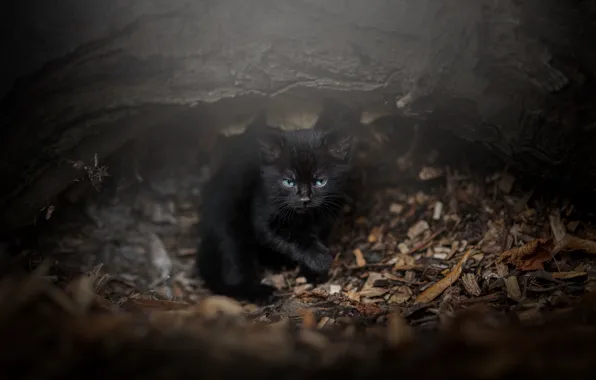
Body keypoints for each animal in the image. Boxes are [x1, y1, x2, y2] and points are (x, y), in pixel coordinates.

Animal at [196, 110, 354, 302]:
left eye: (320, 181)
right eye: (288, 182)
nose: (305, 198)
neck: (305, 218)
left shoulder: (326, 217)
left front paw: (312, 273)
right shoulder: (263, 213)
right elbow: (290, 237)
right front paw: (319, 260)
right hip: (229, 225)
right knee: (232, 271)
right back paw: (260, 292)